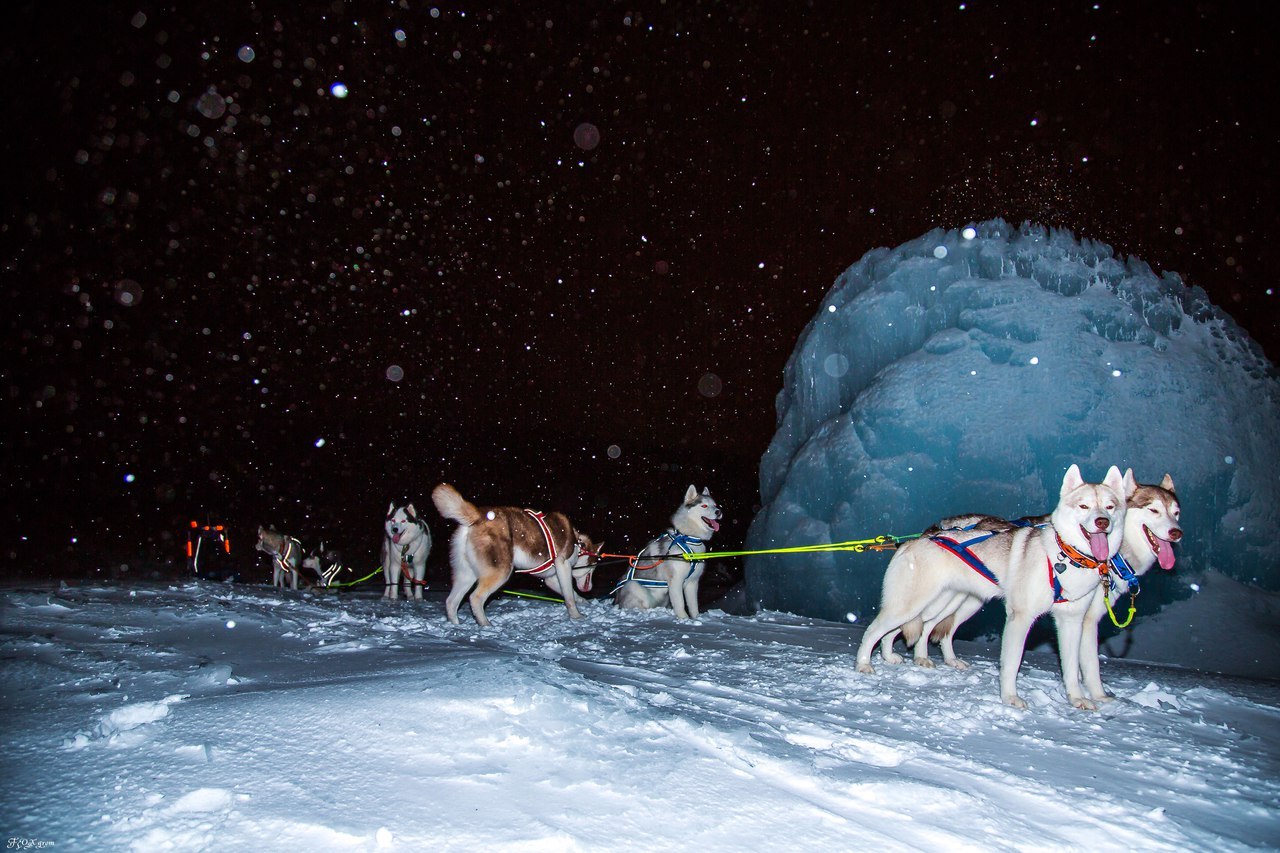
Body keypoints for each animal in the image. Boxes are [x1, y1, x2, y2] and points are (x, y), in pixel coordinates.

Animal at [430, 484, 599, 625]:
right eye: (594, 567)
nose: (590, 587)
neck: (578, 543)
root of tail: (479, 515)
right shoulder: (563, 566)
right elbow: (569, 597)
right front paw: (576, 616)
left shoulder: (551, 578)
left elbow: (572, 594)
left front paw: (583, 601)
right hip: (501, 572)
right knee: (475, 598)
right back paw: (485, 625)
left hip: (466, 575)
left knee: (451, 601)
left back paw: (456, 626)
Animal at [611, 484, 721, 617]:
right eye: (704, 505)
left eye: (715, 505)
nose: (719, 511)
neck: (688, 539)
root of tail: (616, 601)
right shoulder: (675, 581)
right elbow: (680, 604)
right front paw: (684, 619)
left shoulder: (692, 583)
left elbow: (693, 606)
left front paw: (696, 619)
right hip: (634, 586)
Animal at [855, 461, 1126, 706]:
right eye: (1084, 505)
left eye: (1110, 507)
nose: (1102, 521)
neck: (1065, 556)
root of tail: (912, 541)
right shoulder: (1020, 617)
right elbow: (1012, 663)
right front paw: (1010, 698)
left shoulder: (1072, 621)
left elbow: (1071, 668)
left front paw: (1078, 699)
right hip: (911, 604)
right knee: (874, 630)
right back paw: (864, 664)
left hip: (935, 605)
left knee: (907, 630)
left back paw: (892, 656)